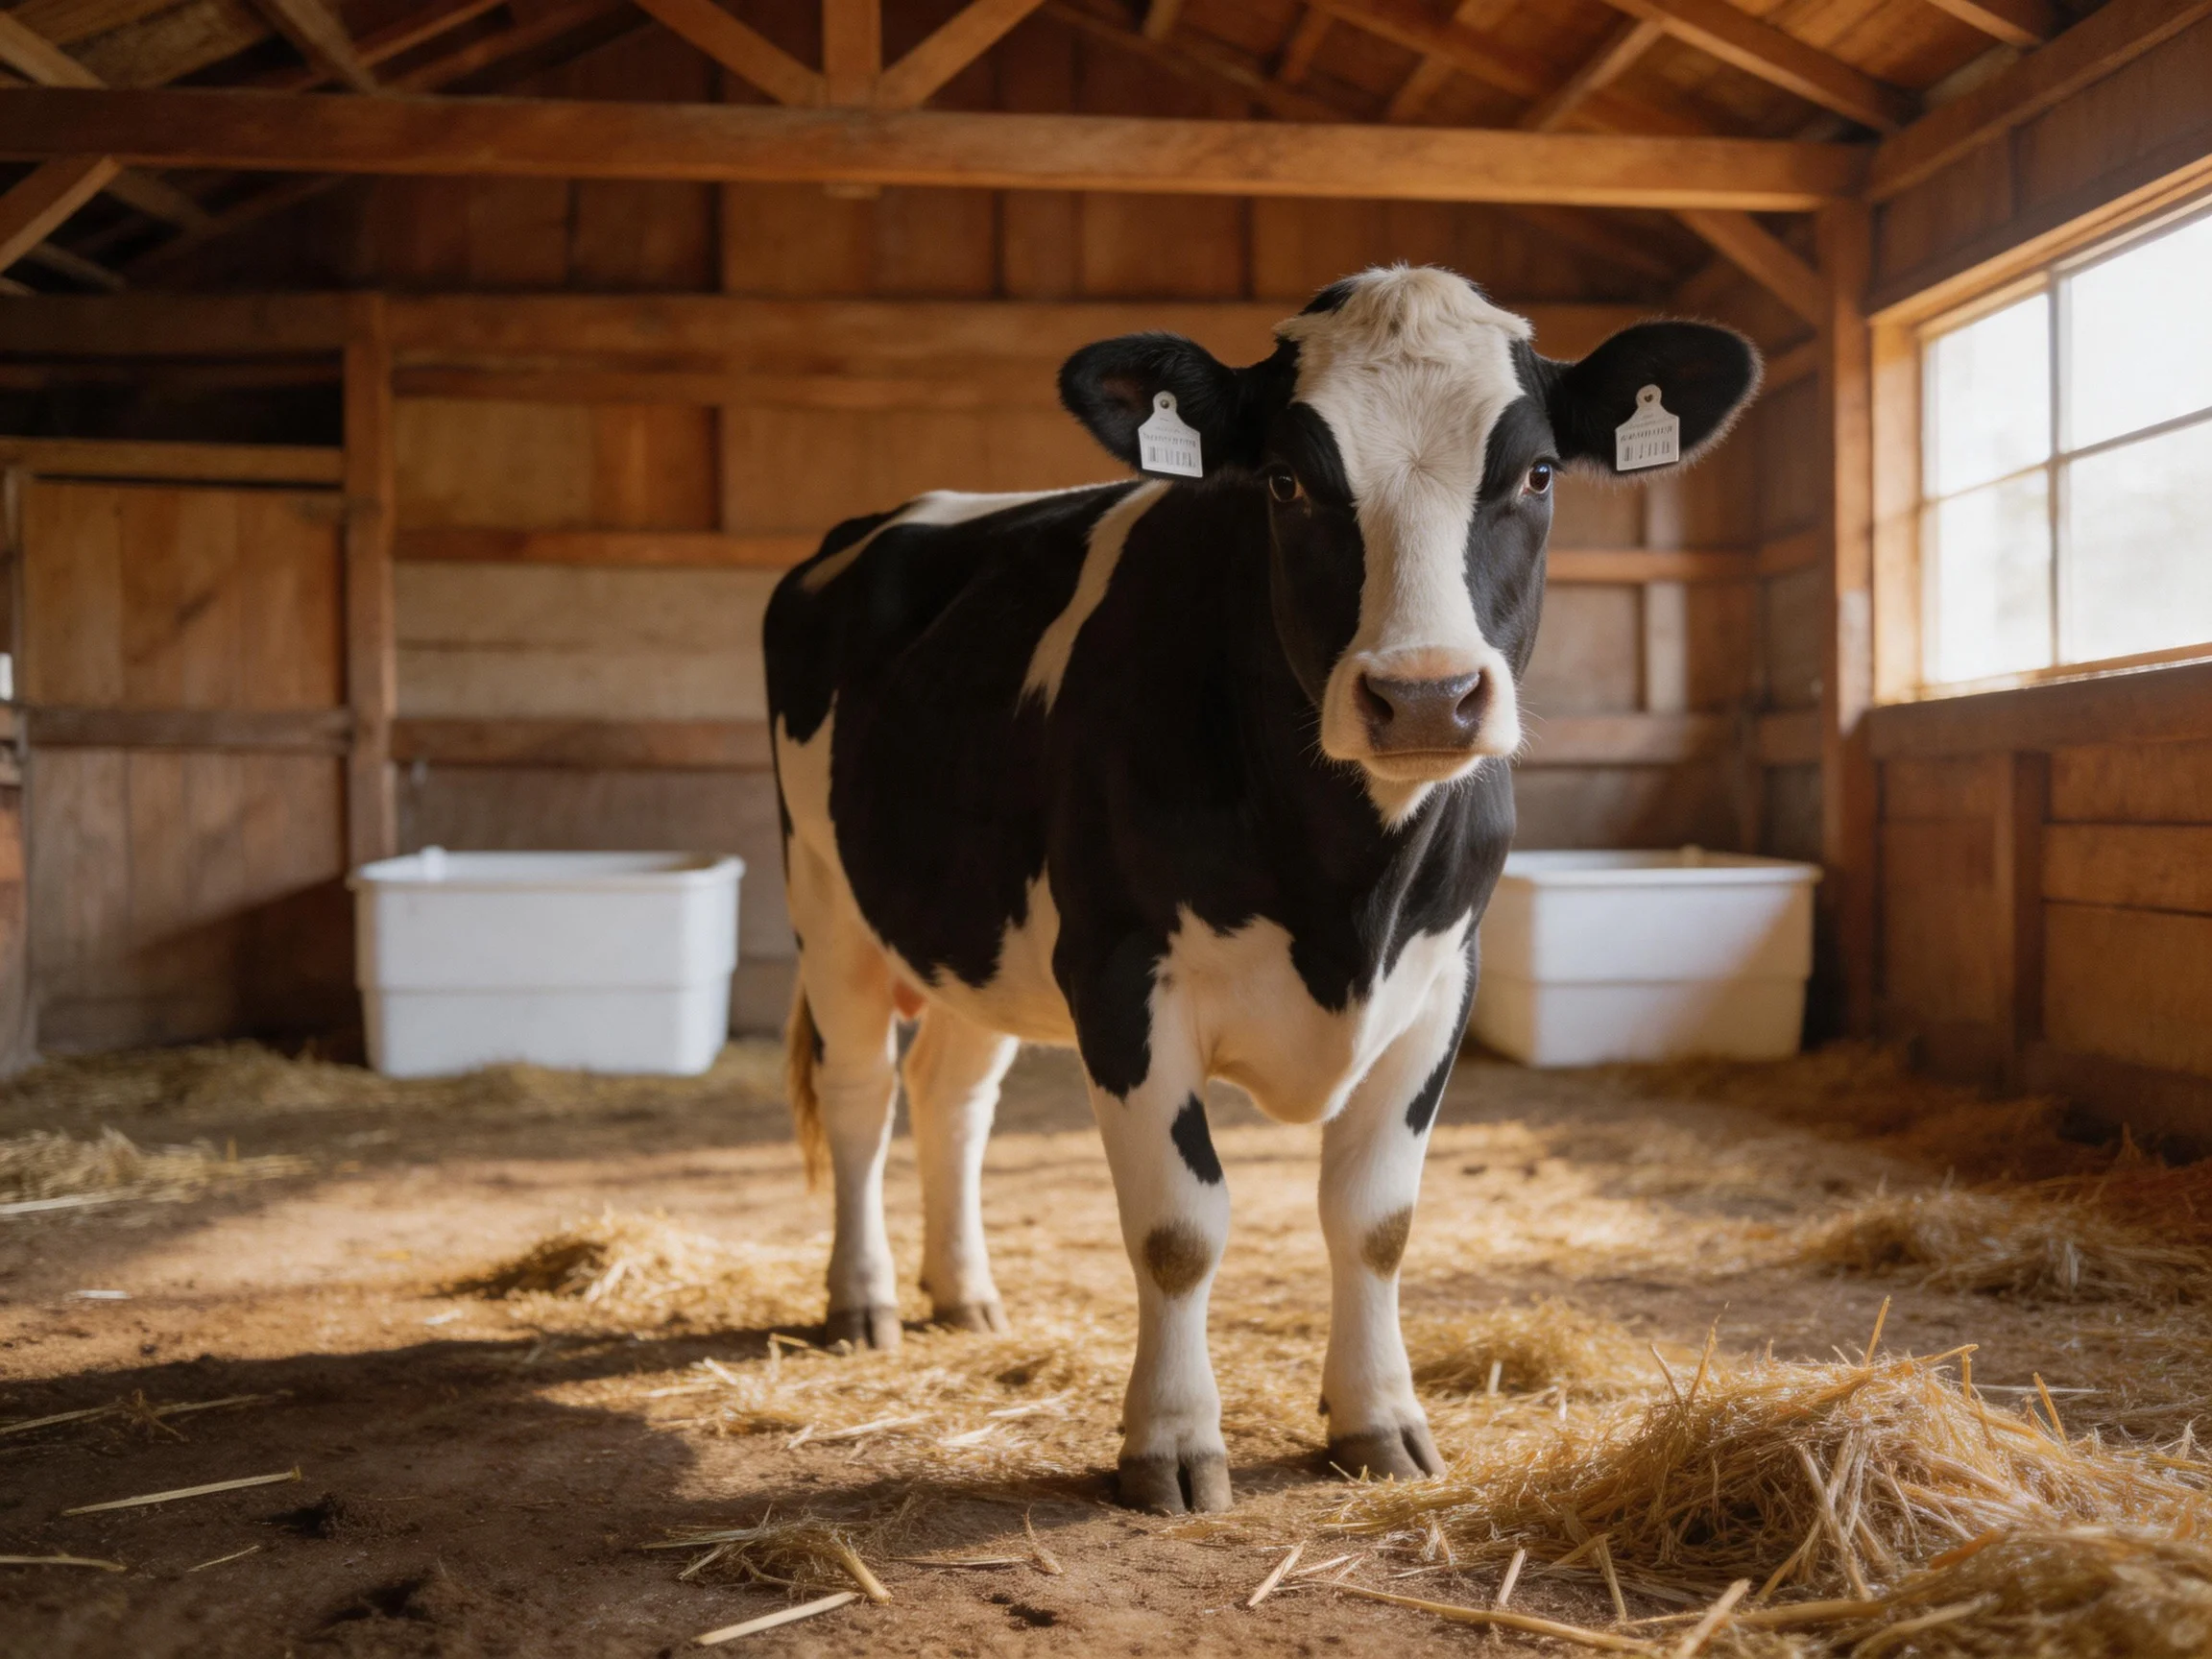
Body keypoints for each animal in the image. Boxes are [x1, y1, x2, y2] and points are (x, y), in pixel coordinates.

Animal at [765, 265, 1759, 1514]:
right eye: (1288, 480)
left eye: (1536, 473)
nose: (1424, 697)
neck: (1346, 888)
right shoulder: (1121, 972)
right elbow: (1179, 1228)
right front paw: (1172, 1443)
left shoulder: (1443, 977)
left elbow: (1376, 1220)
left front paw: (1379, 1420)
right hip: (827, 901)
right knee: (860, 1096)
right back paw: (865, 1300)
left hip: (973, 925)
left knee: (953, 1092)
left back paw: (965, 1293)